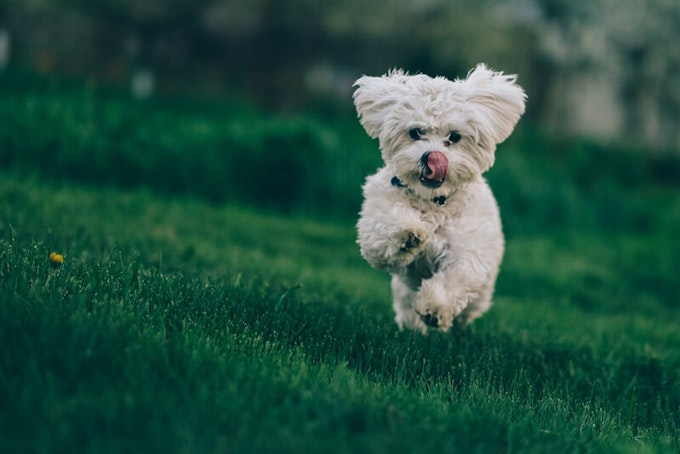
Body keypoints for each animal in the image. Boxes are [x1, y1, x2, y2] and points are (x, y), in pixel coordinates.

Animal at [354, 63, 528, 334]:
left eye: (454, 137)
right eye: (415, 132)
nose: (432, 157)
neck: (433, 201)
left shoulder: (468, 252)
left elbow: (454, 279)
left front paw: (434, 308)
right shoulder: (375, 225)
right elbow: (384, 232)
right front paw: (409, 233)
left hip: (480, 296)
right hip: (403, 291)